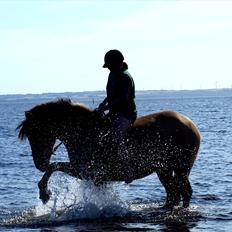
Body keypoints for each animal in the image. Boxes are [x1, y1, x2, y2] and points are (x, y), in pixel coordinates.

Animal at [17, 98, 200, 208]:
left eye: (36, 133)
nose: (39, 164)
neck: (84, 132)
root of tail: (191, 124)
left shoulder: (87, 172)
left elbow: (54, 166)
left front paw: (44, 192)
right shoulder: (86, 173)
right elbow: (54, 166)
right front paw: (44, 192)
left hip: (181, 168)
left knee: (184, 191)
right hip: (164, 169)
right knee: (173, 193)